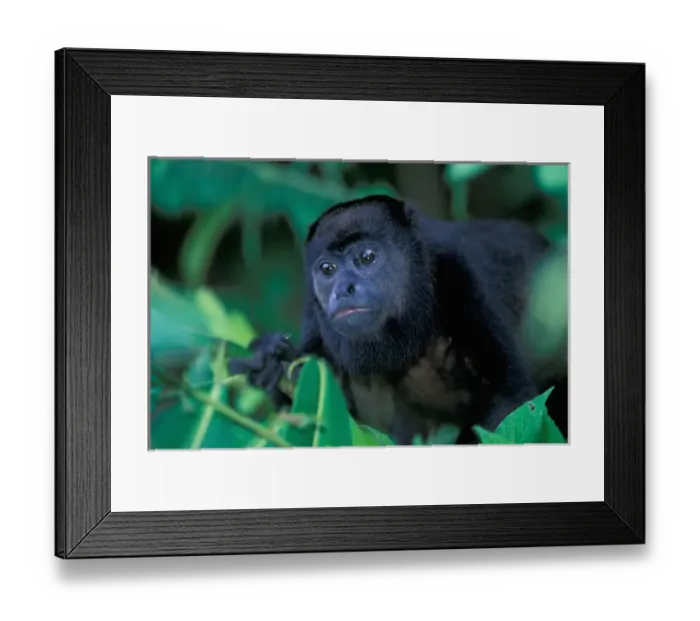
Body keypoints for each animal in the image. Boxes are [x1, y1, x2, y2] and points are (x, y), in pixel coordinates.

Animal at [228, 194, 555, 445]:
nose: (342, 289)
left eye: (367, 257)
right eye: (327, 269)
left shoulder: (461, 274)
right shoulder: (313, 314)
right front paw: (270, 361)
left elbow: (511, 400)